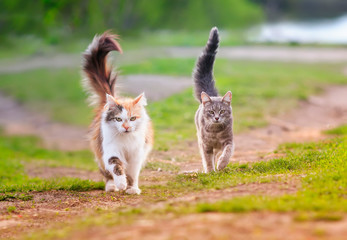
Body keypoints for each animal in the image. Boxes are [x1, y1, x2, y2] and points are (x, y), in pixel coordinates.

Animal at [83, 31, 154, 194]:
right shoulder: (111, 150)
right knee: (106, 173)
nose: (126, 127)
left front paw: (132, 188)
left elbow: (133, 174)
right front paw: (121, 184)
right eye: (118, 119)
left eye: (133, 118)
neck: (126, 141)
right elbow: (116, 166)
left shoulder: (137, 155)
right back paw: (111, 186)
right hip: (99, 151)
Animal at [194, 26, 235, 172]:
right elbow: (207, 159)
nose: (217, 118)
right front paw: (210, 171)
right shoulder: (206, 145)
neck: (216, 132)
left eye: (222, 111)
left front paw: (222, 164)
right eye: (211, 112)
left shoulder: (229, 140)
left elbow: (227, 152)